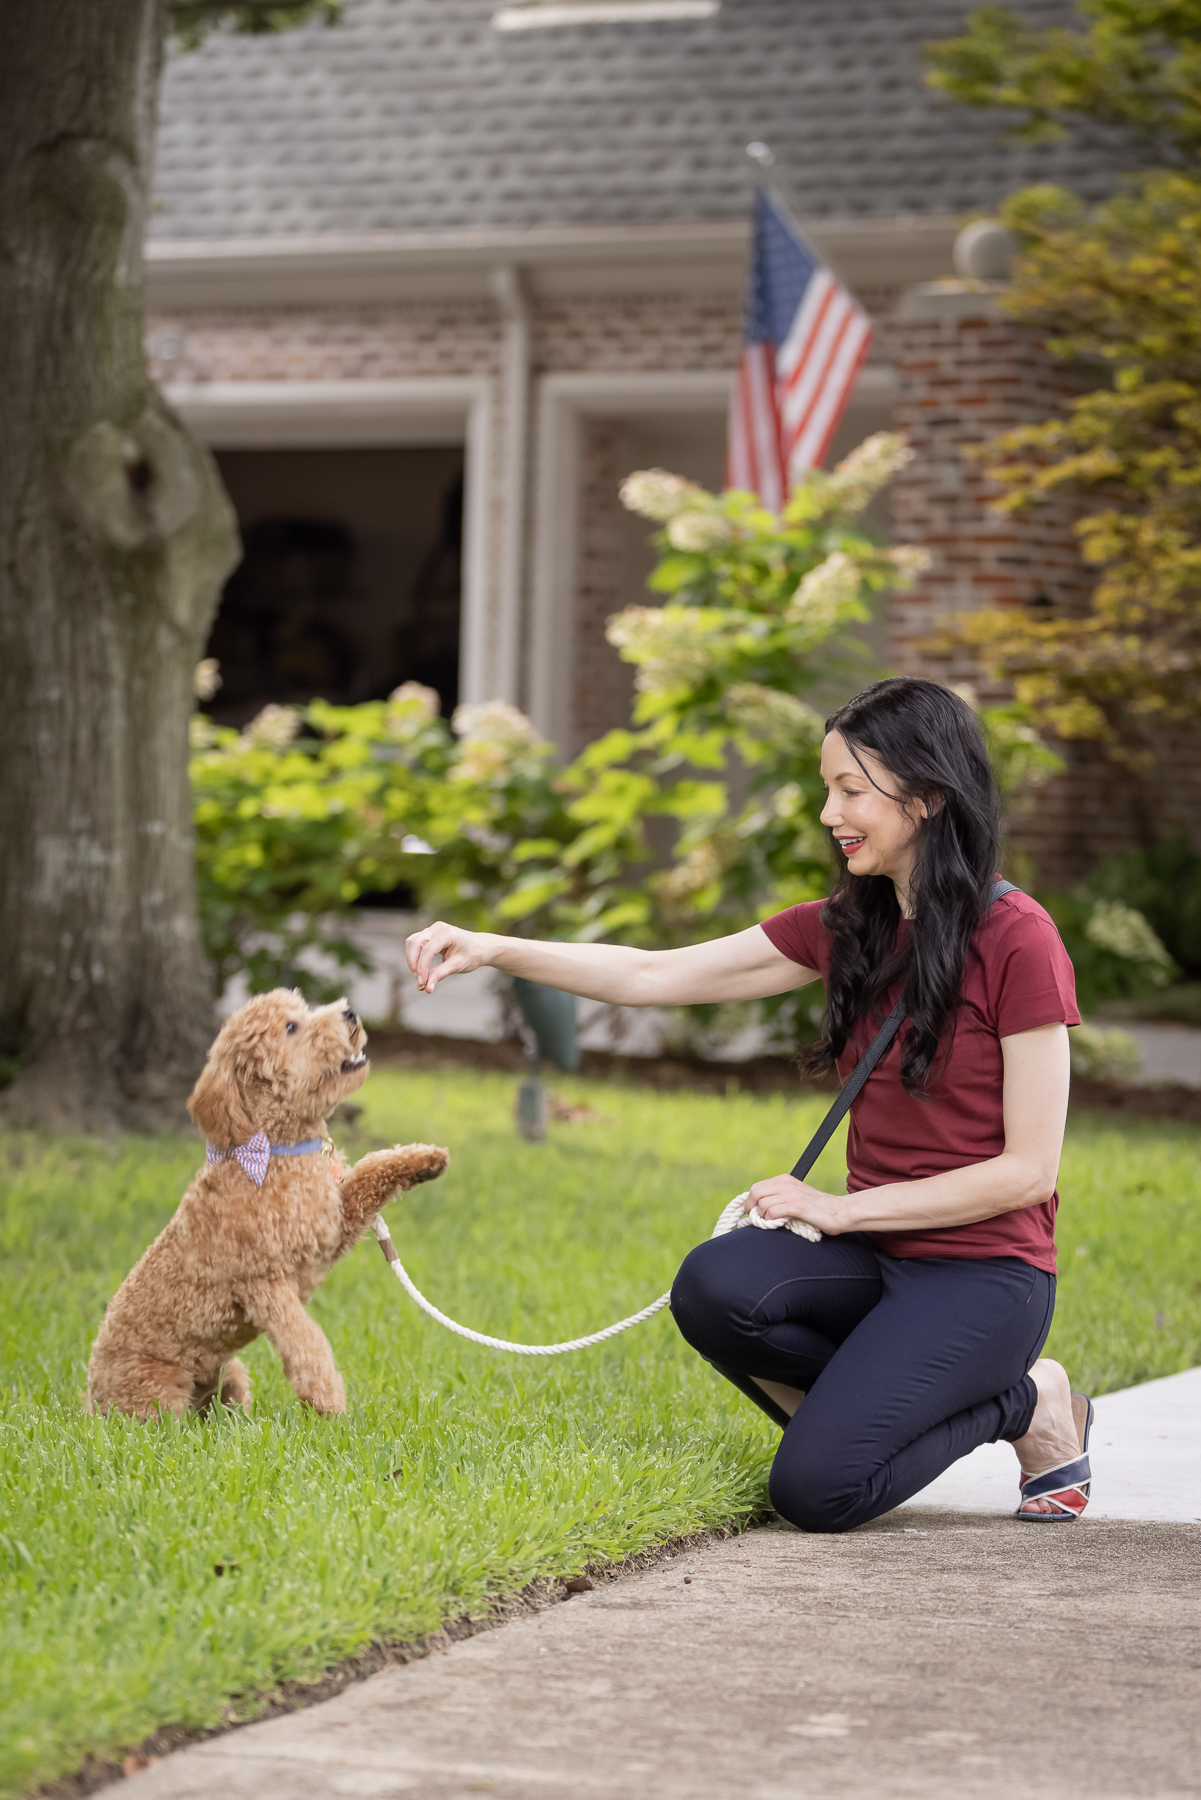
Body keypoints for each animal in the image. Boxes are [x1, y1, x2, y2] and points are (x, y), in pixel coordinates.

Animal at [85, 986, 446, 1418]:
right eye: (291, 1027)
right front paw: (329, 1405)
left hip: (230, 1373)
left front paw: (425, 1160)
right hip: (157, 1393)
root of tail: (90, 1396)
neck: (277, 1150)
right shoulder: (265, 1284)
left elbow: (371, 1169)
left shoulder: (331, 1223)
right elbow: (306, 1341)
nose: (350, 1013)